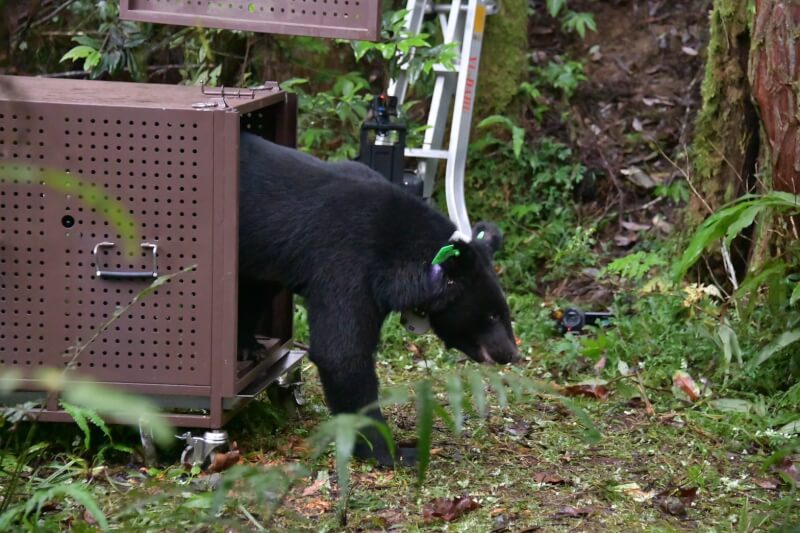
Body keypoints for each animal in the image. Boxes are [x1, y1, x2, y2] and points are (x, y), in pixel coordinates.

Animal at [238, 132, 518, 465]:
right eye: (492, 315)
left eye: (504, 313)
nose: (512, 354)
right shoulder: (347, 266)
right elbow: (342, 353)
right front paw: (394, 452)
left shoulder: (271, 259)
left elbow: (256, 291)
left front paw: (248, 346)